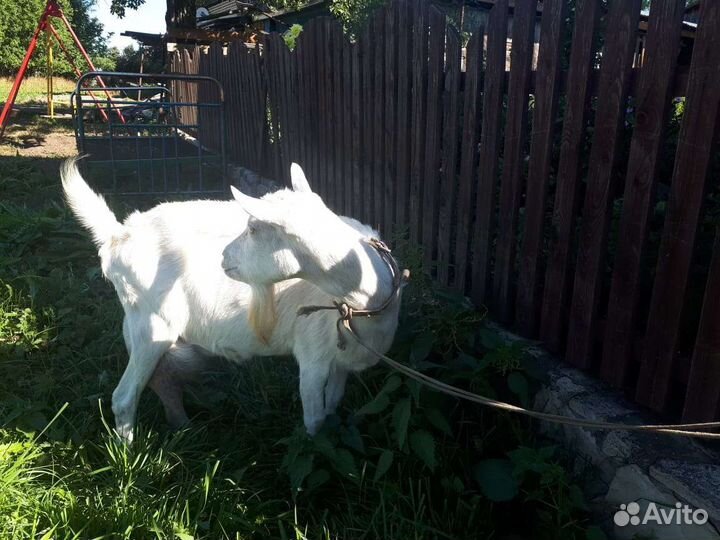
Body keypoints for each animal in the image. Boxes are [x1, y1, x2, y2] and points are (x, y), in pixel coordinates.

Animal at [61, 158, 403, 440]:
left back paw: (182, 427)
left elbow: (332, 405)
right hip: (153, 323)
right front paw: (313, 448)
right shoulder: (312, 355)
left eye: (252, 228)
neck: (365, 301)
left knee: (162, 378)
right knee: (124, 396)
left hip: (141, 326)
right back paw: (128, 458)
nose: (223, 257)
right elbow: (315, 420)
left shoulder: (340, 362)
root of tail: (119, 235)